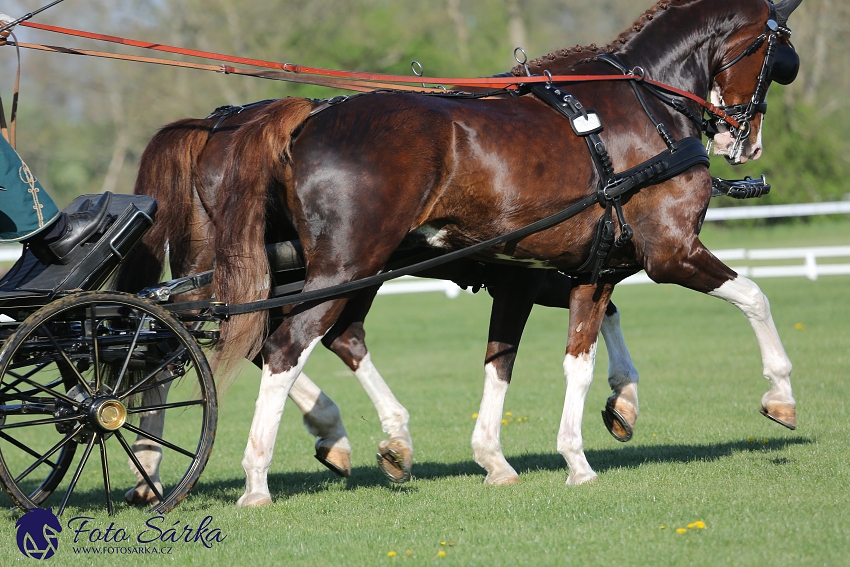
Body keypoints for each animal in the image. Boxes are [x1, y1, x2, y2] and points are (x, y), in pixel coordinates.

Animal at [210, 0, 800, 506]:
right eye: (781, 55)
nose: (746, 144)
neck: (644, 103)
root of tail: (309, 118)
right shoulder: (670, 253)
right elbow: (755, 297)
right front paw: (781, 393)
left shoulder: (580, 268)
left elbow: (550, 359)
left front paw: (565, 452)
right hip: (346, 269)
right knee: (287, 347)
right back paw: (259, 477)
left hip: (348, 272)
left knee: (311, 338)